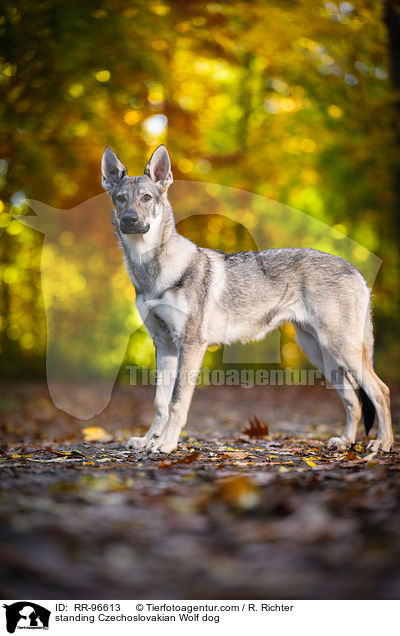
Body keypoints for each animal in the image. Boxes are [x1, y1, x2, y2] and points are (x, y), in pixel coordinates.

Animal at [102, 143, 394, 454]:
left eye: (146, 198)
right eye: (120, 199)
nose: (130, 220)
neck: (153, 271)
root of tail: (355, 269)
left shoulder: (191, 345)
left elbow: (176, 402)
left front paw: (166, 444)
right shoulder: (164, 345)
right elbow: (159, 402)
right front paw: (148, 440)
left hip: (341, 350)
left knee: (381, 391)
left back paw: (384, 443)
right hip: (322, 354)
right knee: (353, 400)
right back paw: (346, 441)